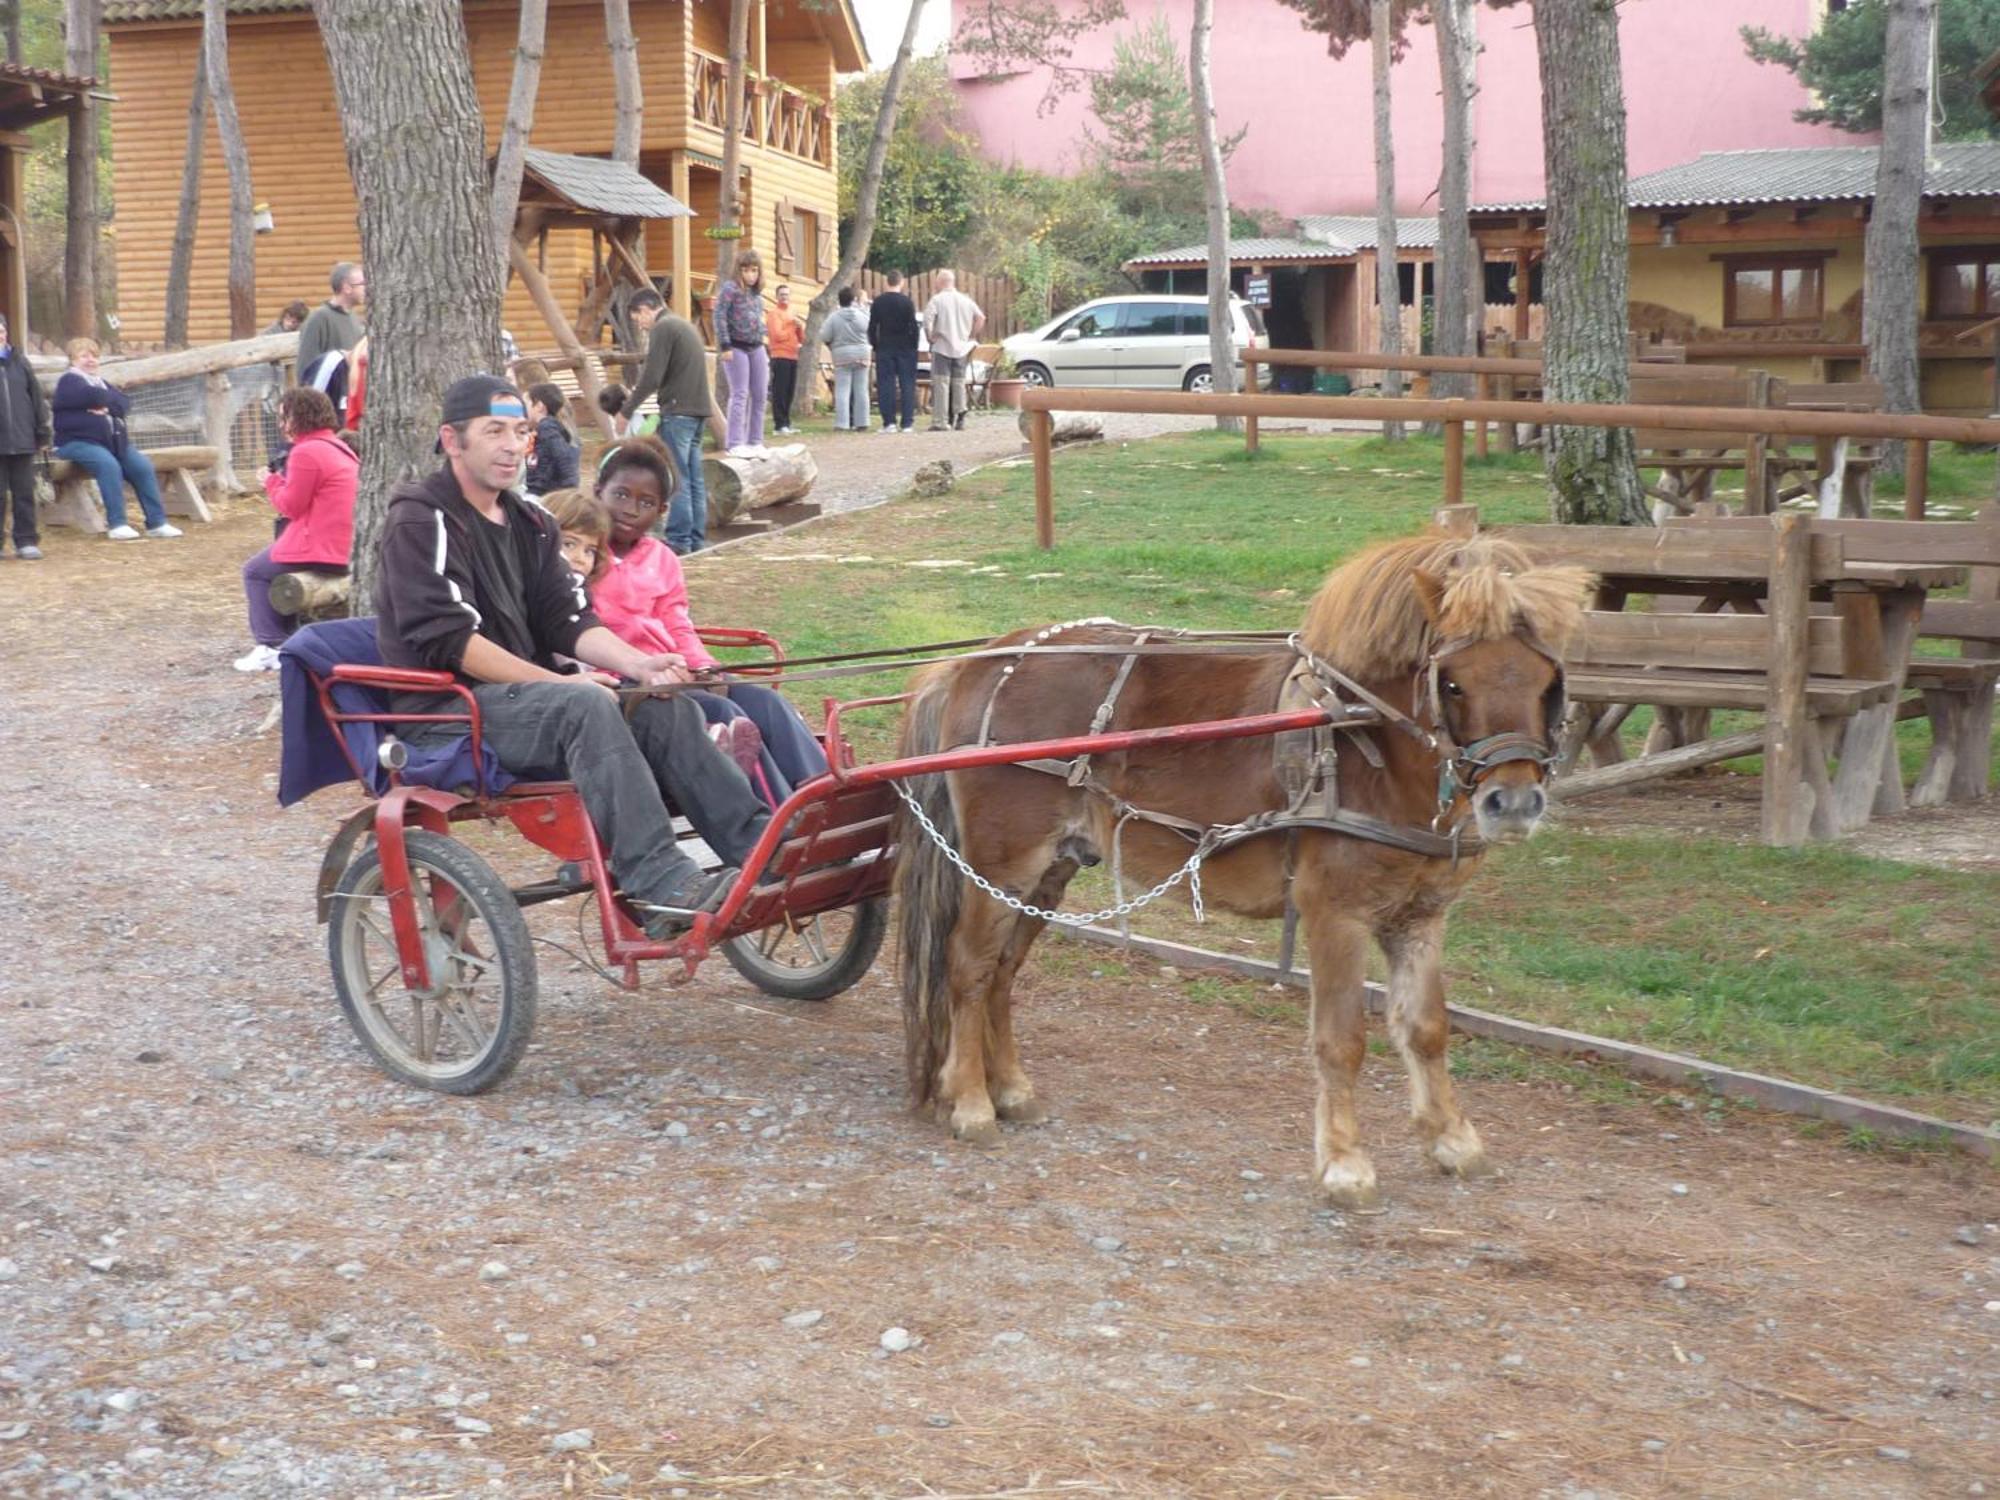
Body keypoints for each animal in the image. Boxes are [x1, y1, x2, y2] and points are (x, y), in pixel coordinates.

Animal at [896, 528, 1592, 1208]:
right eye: (1452, 683)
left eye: (1547, 683)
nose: (1513, 803)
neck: (1366, 743)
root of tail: (979, 661)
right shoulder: (1334, 914)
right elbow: (1342, 1040)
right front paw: (1346, 1165)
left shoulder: (1419, 918)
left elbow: (1426, 1029)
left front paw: (1452, 1141)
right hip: (1004, 866)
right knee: (969, 969)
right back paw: (970, 1101)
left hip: (1049, 872)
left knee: (1003, 971)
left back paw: (1011, 1089)